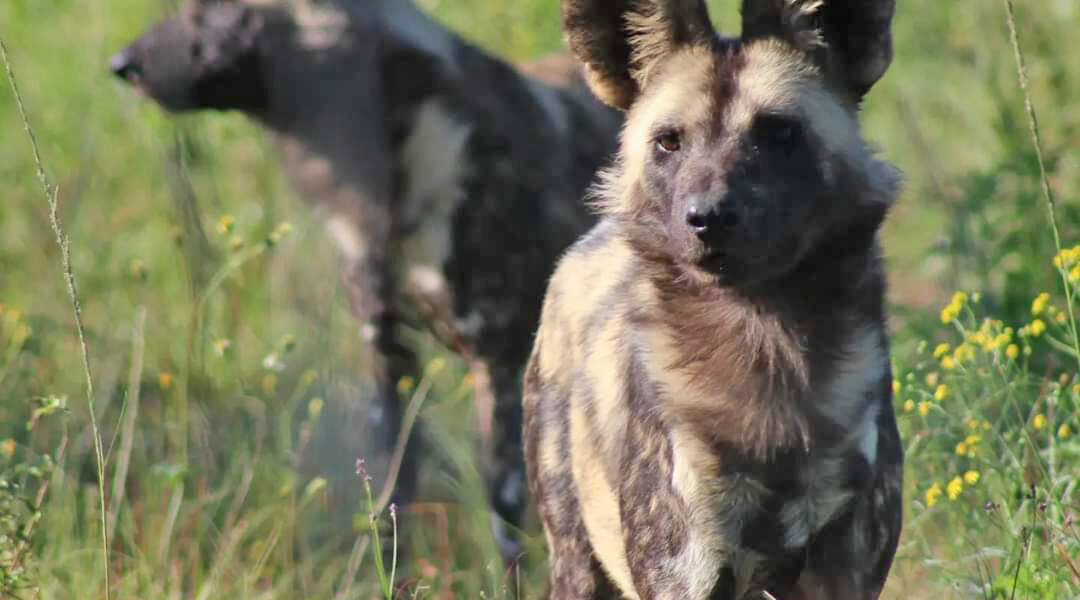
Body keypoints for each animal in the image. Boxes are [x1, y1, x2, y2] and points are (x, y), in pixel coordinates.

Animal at [112, 0, 622, 556]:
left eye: (213, 11)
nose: (123, 64)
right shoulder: (388, 355)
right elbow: (393, 496)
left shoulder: (498, 367)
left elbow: (504, 520)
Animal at [522, 0, 902, 595]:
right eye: (669, 141)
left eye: (779, 132)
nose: (708, 217)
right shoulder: (686, 566)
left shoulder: (846, 565)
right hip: (576, 562)